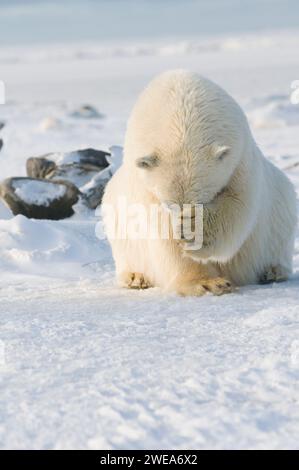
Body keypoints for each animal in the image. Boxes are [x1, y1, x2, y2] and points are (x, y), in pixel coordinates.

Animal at [102, 70, 298, 296]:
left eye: (204, 200)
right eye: (170, 204)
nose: (183, 222)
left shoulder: (240, 158)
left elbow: (238, 204)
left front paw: (194, 232)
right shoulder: (145, 184)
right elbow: (162, 232)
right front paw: (207, 283)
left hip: (281, 205)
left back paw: (273, 271)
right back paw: (135, 277)